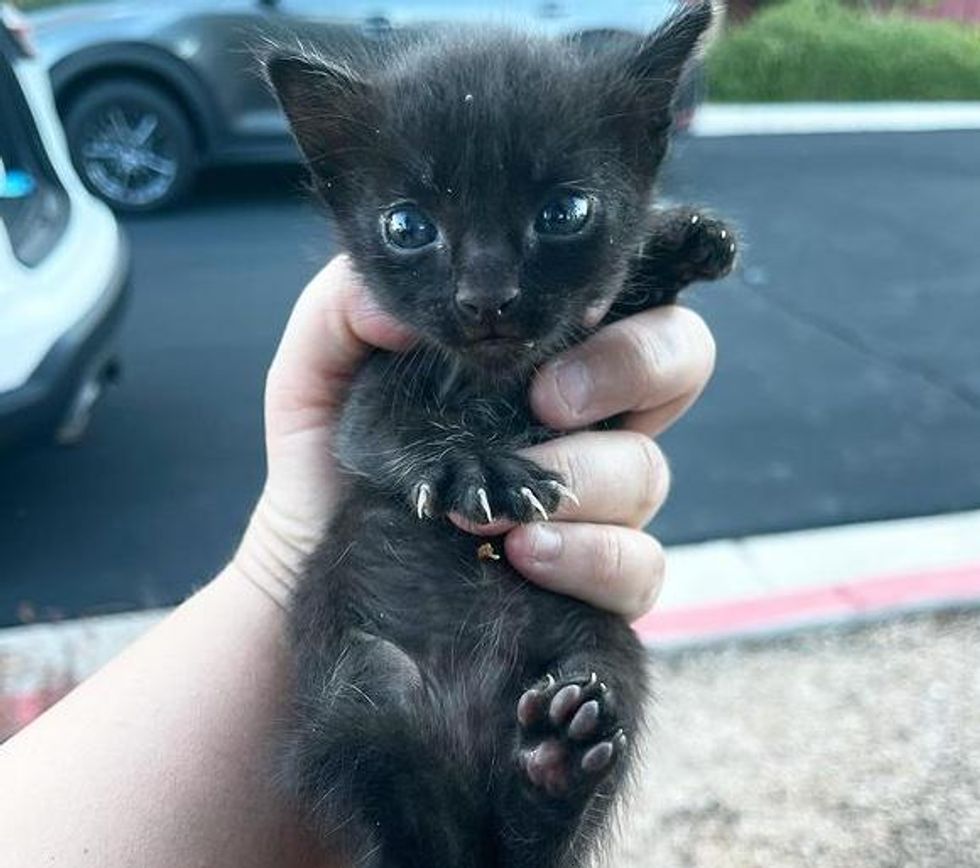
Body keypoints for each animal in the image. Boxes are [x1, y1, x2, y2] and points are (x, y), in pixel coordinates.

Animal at [266, 6, 736, 868]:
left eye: (563, 214)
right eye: (407, 225)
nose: (487, 297)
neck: (493, 380)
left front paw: (680, 241)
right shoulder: (371, 387)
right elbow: (383, 432)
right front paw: (474, 468)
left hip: (607, 654)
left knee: (536, 836)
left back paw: (556, 760)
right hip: (359, 690)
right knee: (407, 818)